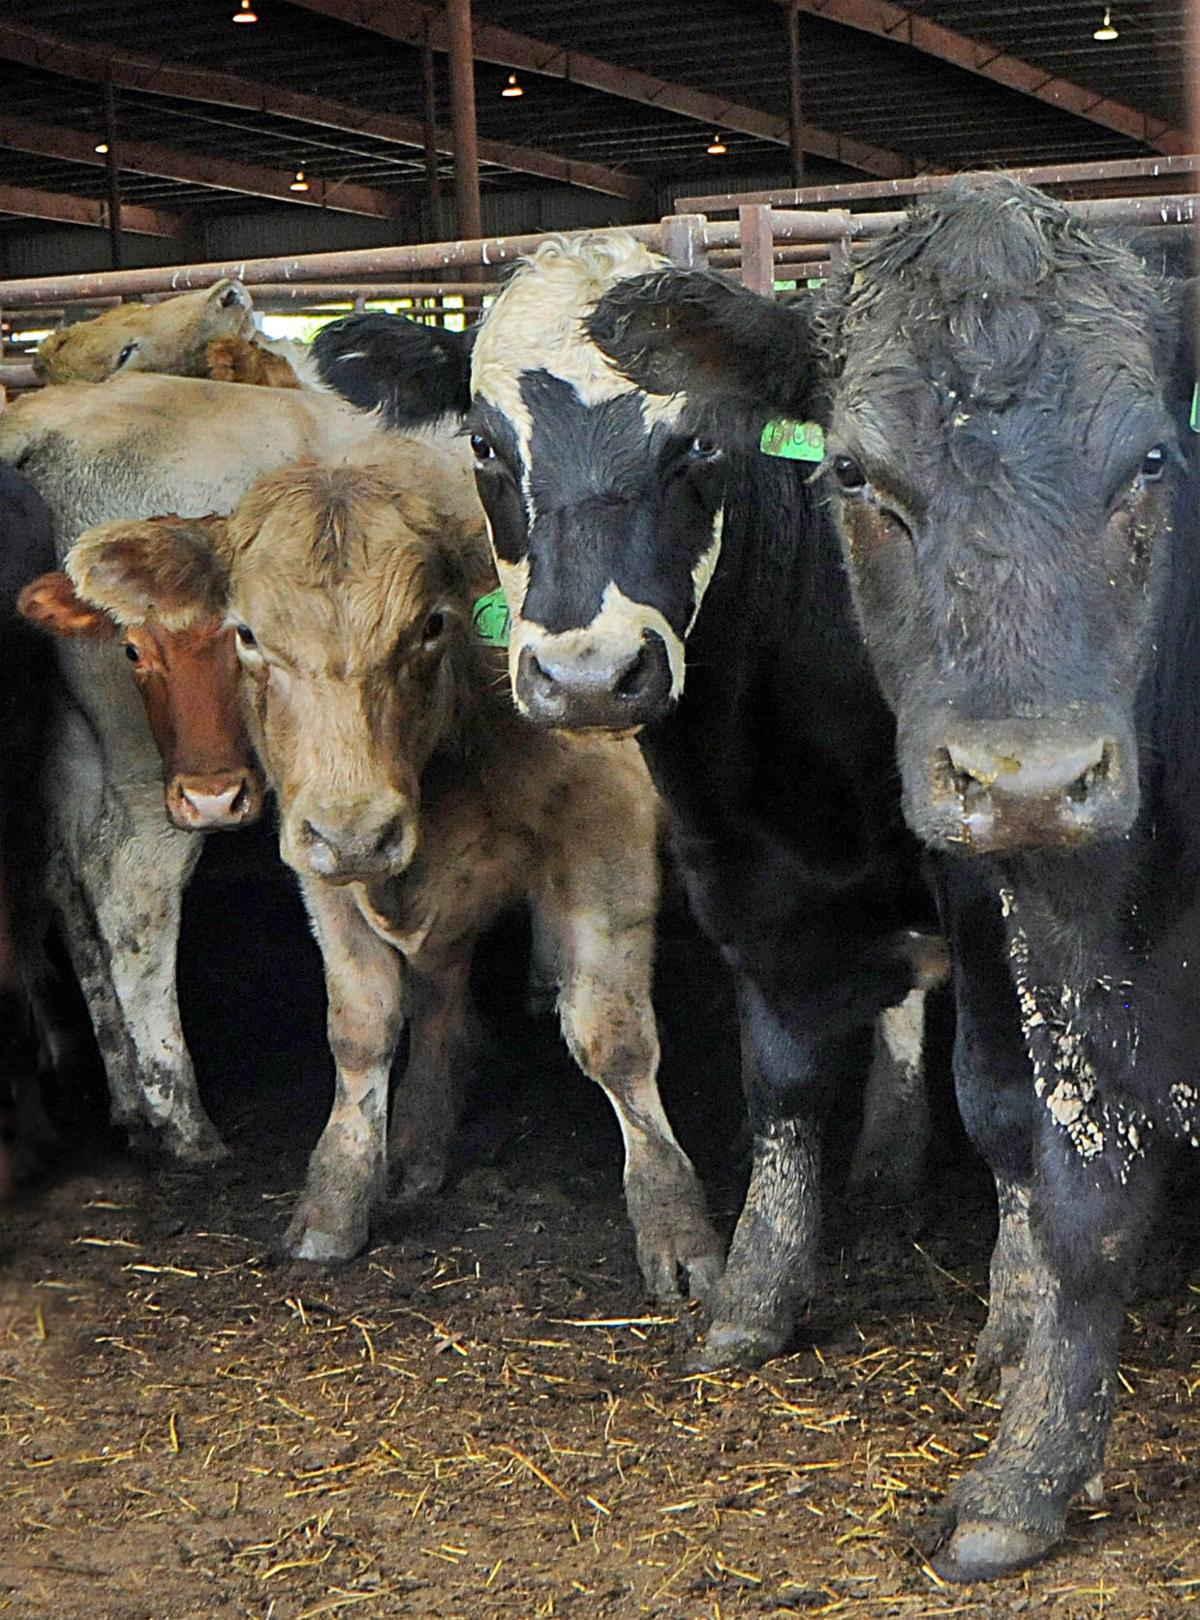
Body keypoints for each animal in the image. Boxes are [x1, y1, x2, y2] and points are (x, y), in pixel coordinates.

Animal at [80, 451, 723, 1298]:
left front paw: (676, 1226)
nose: (361, 831)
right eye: (246, 634)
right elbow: (362, 1027)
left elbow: (612, 1037)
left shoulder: (605, 829)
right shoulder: (319, 852)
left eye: (429, 625)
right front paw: (336, 1199)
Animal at [494, 184, 1200, 1579]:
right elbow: (799, 1087)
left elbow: (1002, 1106)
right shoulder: (755, 878)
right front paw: (757, 1297)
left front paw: (1007, 1331)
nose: (1028, 779)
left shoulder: (988, 900)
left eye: (1154, 459)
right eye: (853, 471)